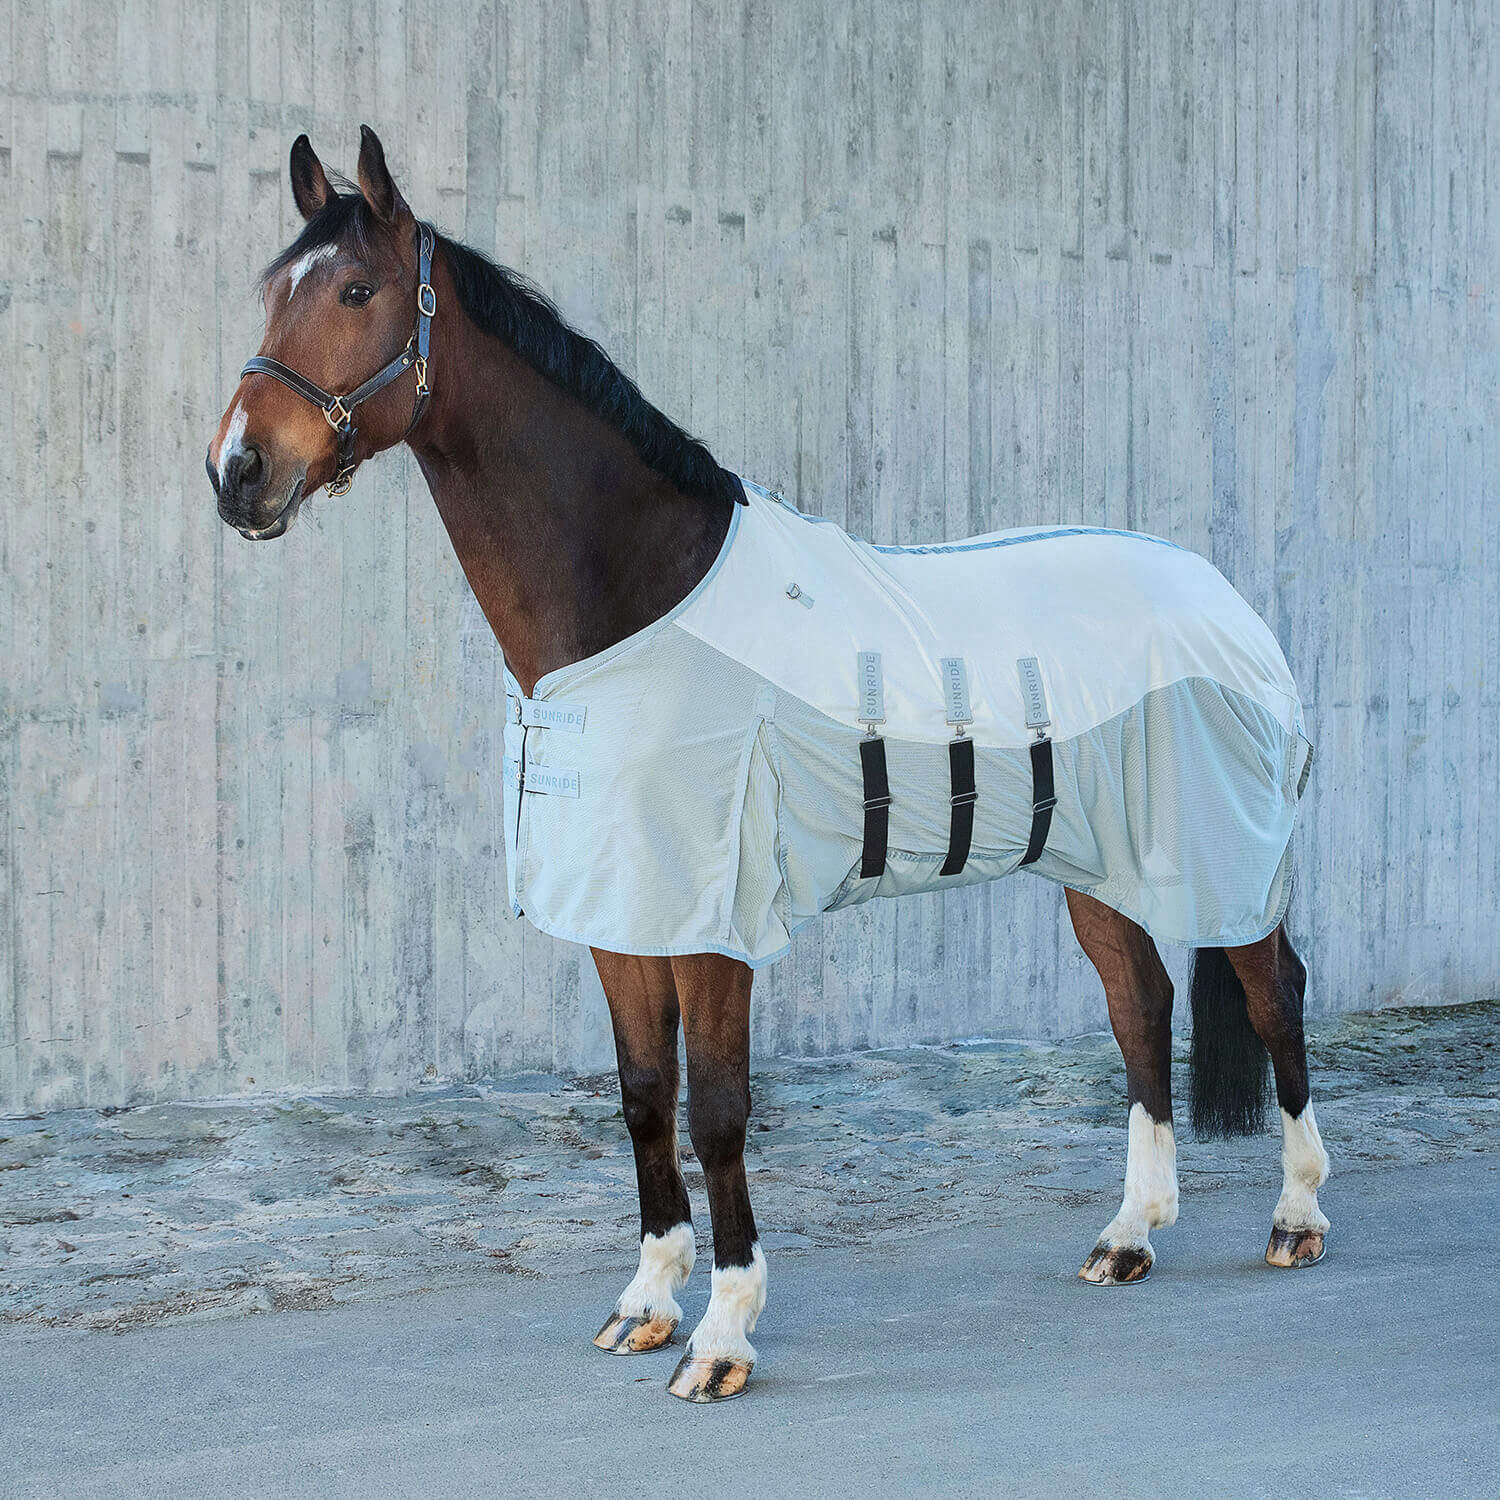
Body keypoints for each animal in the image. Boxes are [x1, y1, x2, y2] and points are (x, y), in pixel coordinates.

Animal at [207, 127, 1331, 1404]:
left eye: (355, 291)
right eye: (269, 291)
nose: (238, 472)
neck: (639, 600)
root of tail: (1220, 596)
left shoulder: (715, 922)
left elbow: (720, 1113)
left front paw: (723, 1336)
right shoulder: (623, 909)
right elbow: (645, 1101)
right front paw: (646, 1304)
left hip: (1220, 852)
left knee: (1273, 993)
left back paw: (1295, 1220)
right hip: (1105, 864)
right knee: (1140, 1008)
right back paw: (1128, 1237)